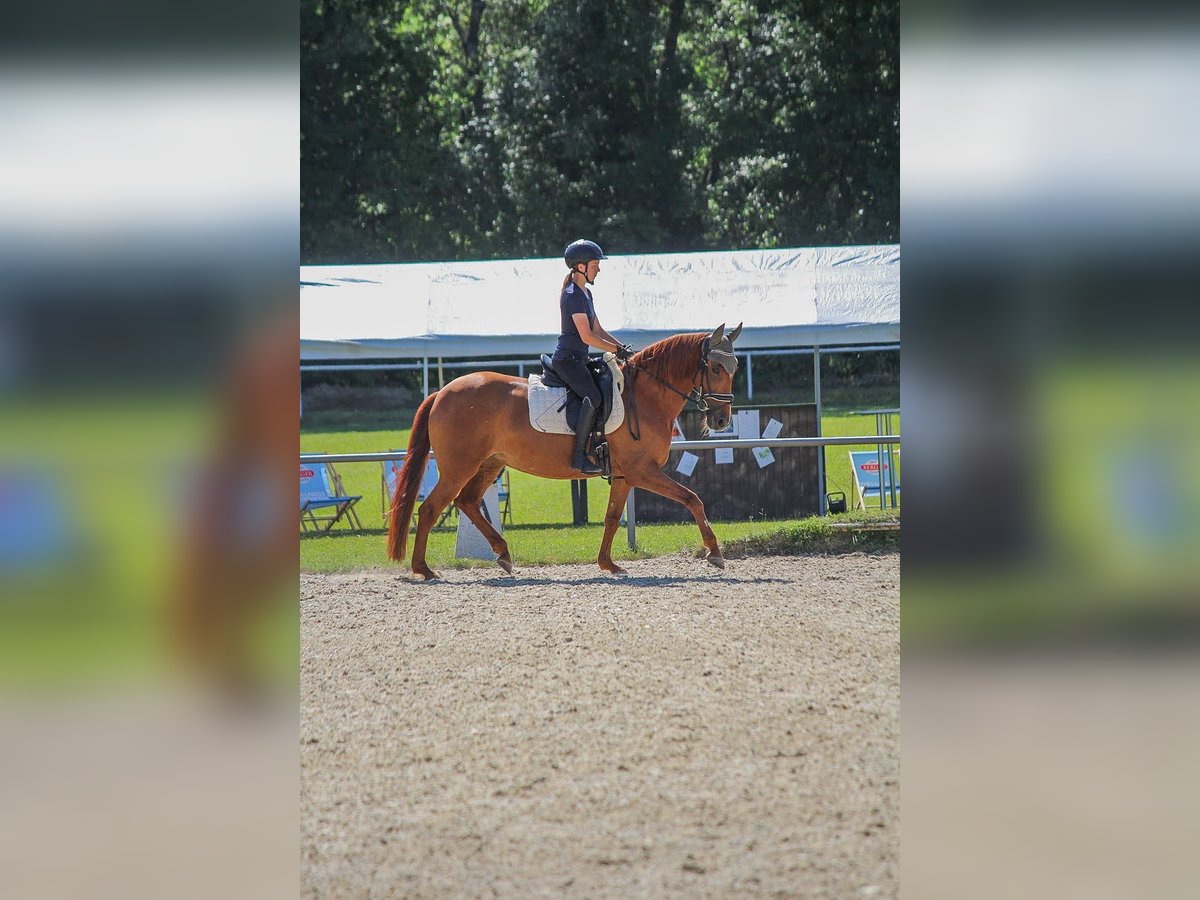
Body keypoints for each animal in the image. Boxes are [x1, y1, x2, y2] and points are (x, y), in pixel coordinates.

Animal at [387, 322, 742, 579]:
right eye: (714, 368)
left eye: (735, 367)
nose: (722, 420)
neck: (645, 395)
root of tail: (441, 392)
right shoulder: (643, 471)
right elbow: (692, 498)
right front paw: (714, 553)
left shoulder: (625, 476)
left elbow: (612, 517)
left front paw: (608, 564)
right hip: (459, 468)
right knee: (430, 509)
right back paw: (424, 569)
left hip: (489, 465)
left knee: (467, 503)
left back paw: (503, 554)